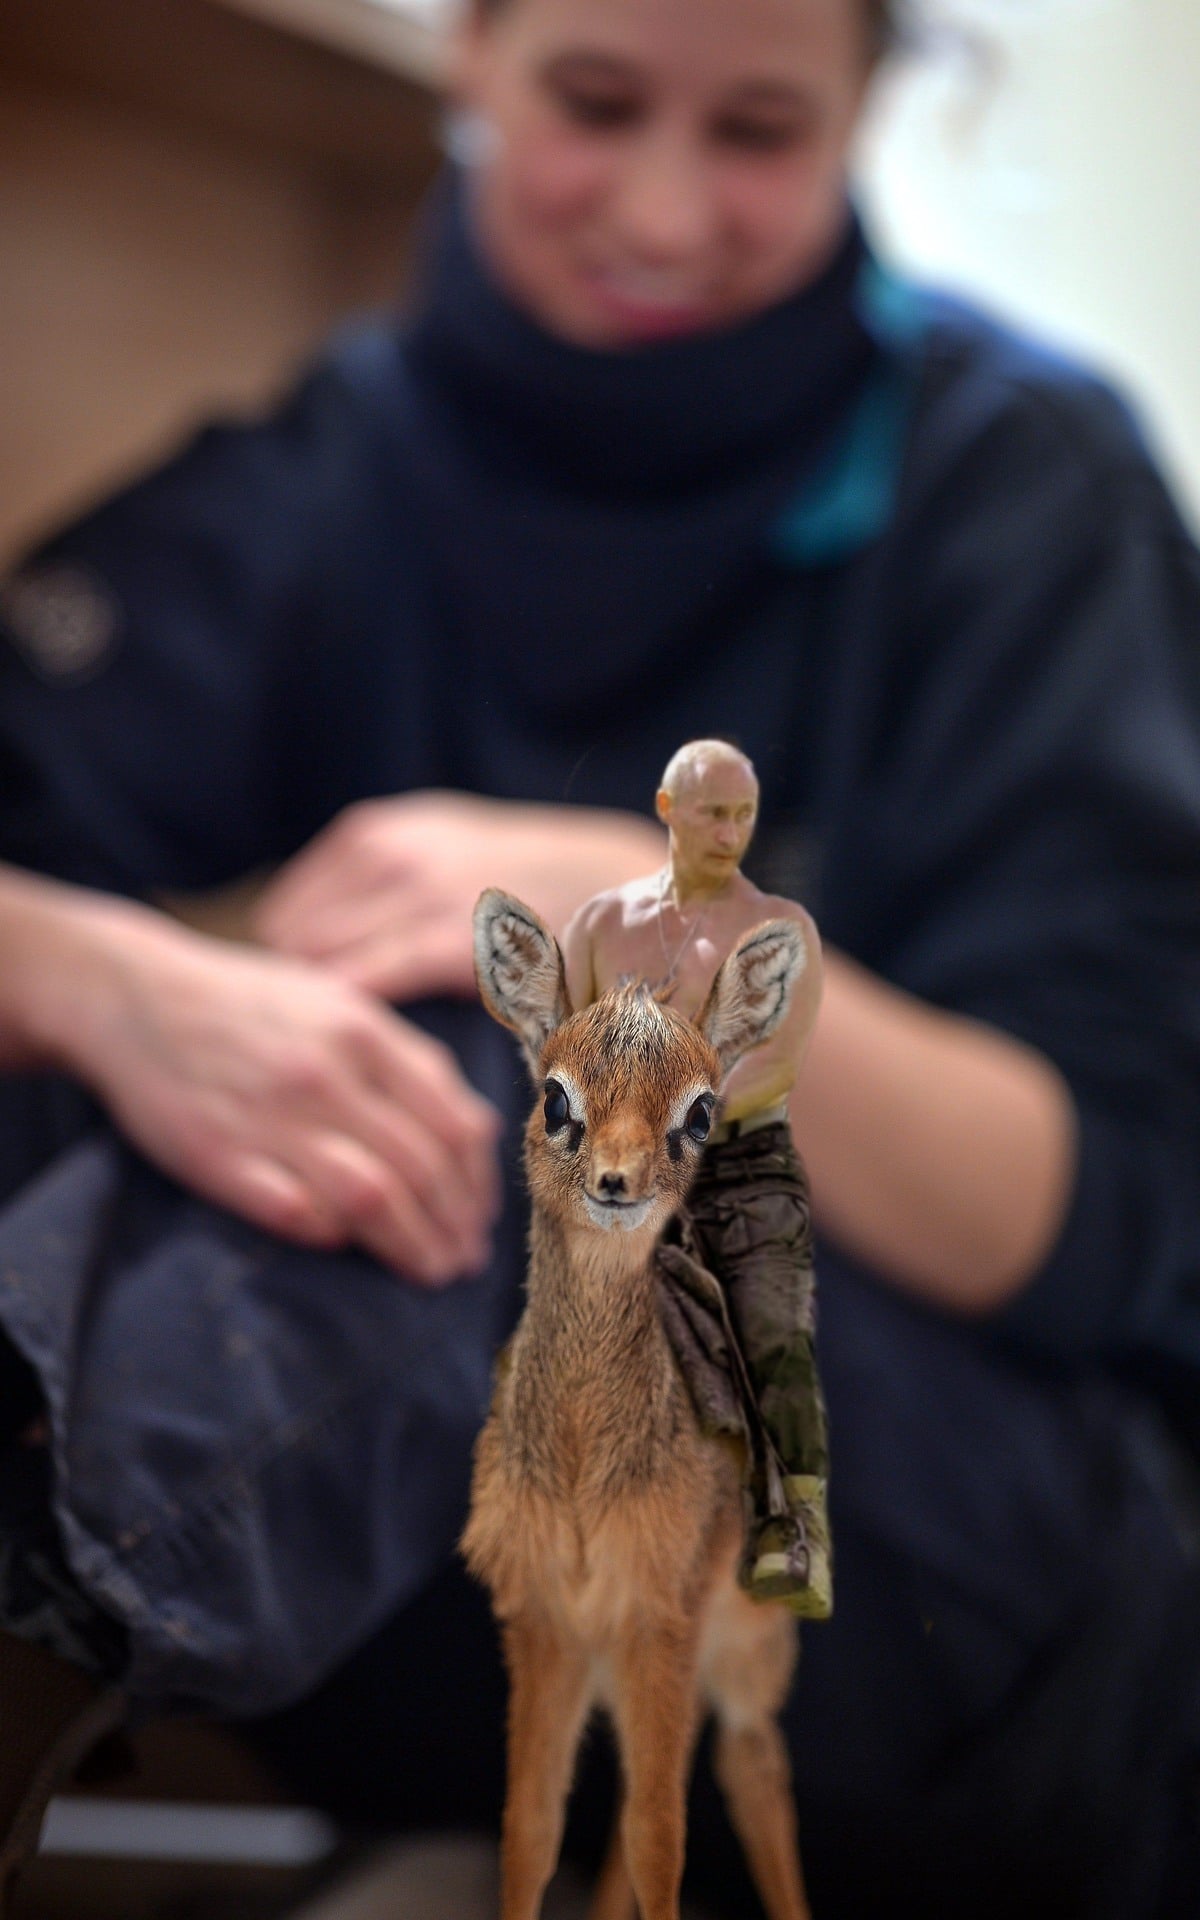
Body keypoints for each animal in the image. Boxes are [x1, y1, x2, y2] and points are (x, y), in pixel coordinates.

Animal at [462, 890, 810, 1920]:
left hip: (742, 1651)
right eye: (554, 1097)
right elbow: (530, 1830)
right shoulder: (548, 1622)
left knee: (750, 1769)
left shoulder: (661, 1616)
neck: (583, 1459)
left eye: (699, 1112)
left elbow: (662, 1840)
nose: (617, 1180)